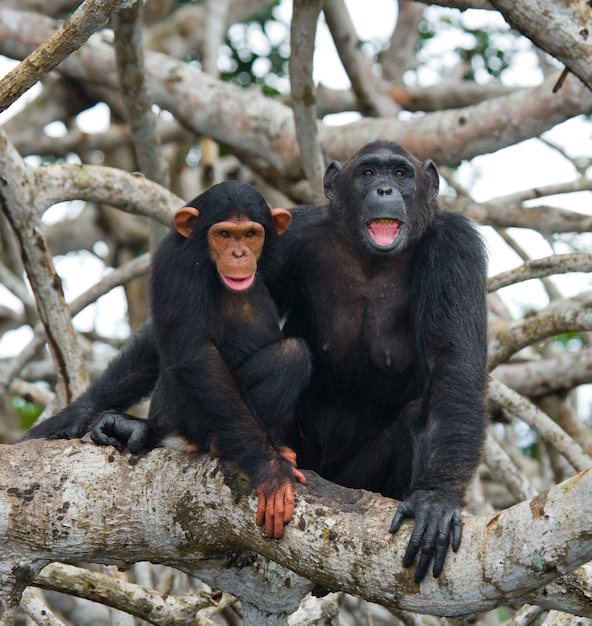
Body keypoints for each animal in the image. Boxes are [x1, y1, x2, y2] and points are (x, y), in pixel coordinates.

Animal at [26, 179, 314, 536]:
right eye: (223, 234)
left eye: (250, 234)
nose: (239, 254)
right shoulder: (174, 263)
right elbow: (197, 355)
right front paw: (270, 470)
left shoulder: (284, 259)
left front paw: (78, 414)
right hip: (187, 417)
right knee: (291, 355)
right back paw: (217, 443)